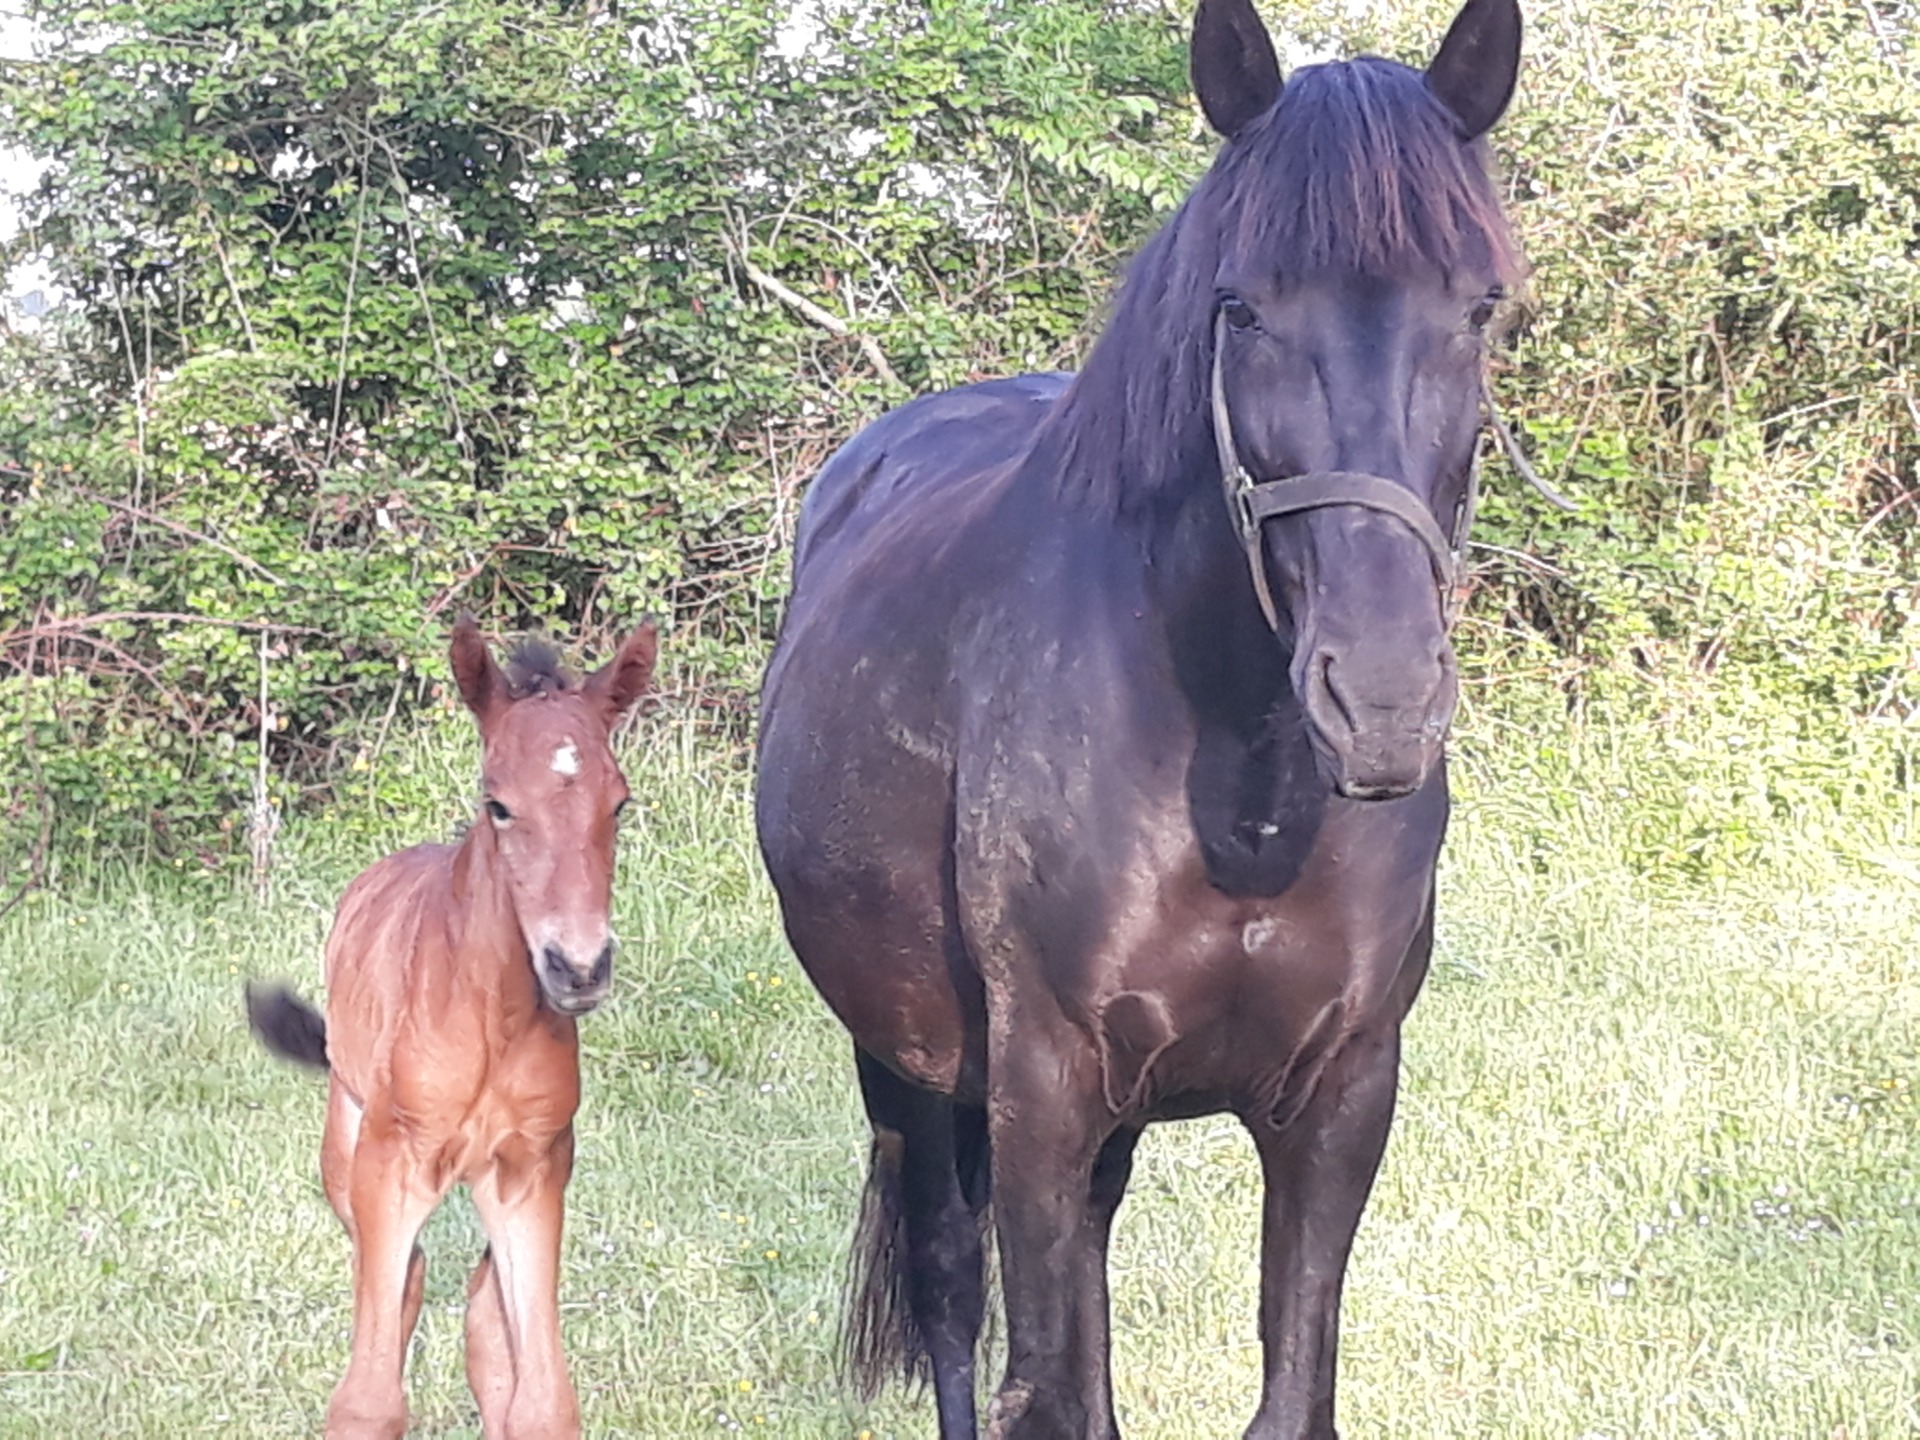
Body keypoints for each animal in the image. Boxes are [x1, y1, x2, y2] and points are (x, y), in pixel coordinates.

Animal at [247, 622, 656, 1440]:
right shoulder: (391, 1165)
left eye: (619, 805)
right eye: (498, 804)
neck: (489, 1015)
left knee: (482, 1317)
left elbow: (540, 1397)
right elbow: (369, 1396)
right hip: (345, 1149)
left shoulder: (532, 1171)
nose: (579, 966)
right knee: (403, 1281)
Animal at [756, 5, 1520, 1436]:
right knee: (950, 1291)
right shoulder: (1042, 1088)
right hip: (908, 1065)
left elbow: (1288, 1391)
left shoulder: (1341, 1099)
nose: (1382, 699)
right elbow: (1047, 1382)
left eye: (1480, 307)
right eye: (1242, 305)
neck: (1245, 785)